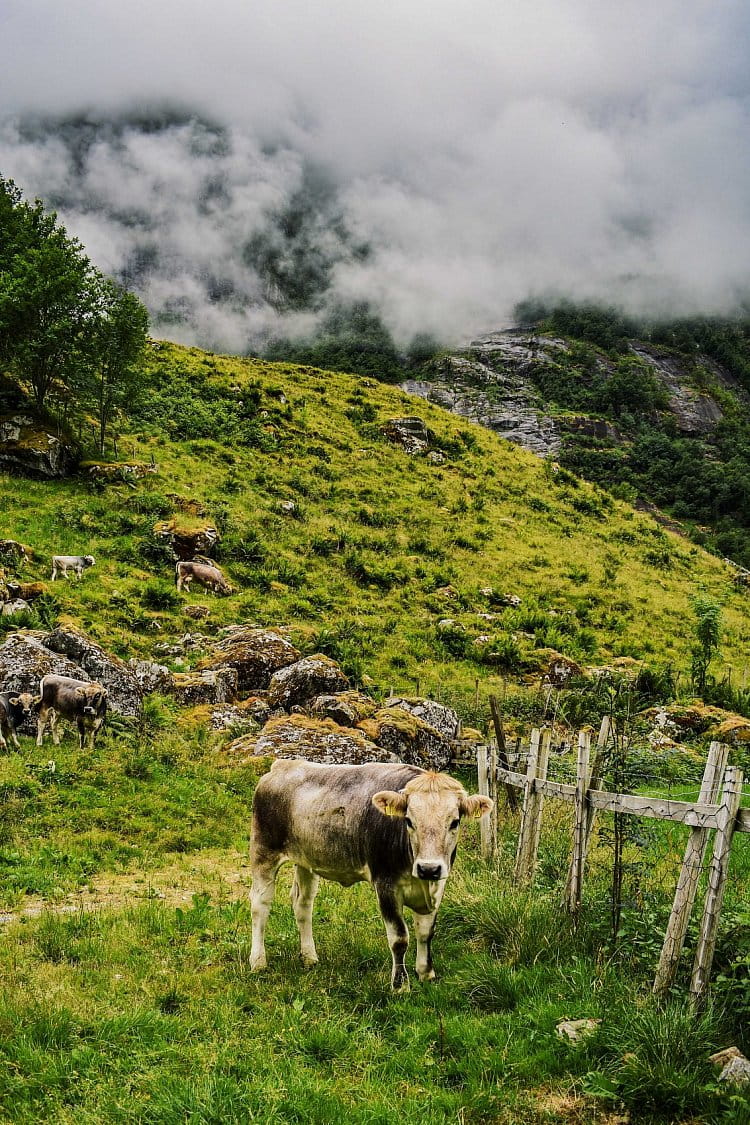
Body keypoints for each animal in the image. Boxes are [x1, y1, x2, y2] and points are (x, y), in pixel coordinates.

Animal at [249, 760, 492, 990]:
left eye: (455, 822)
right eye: (409, 821)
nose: (428, 868)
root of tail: (283, 764)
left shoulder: (437, 886)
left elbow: (425, 932)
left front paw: (426, 974)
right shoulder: (386, 885)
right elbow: (399, 938)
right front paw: (400, 985)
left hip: (305, 860)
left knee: (302, 904)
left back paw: (309, 957)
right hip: (263, 852)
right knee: (260, 905)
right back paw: (258, 961)